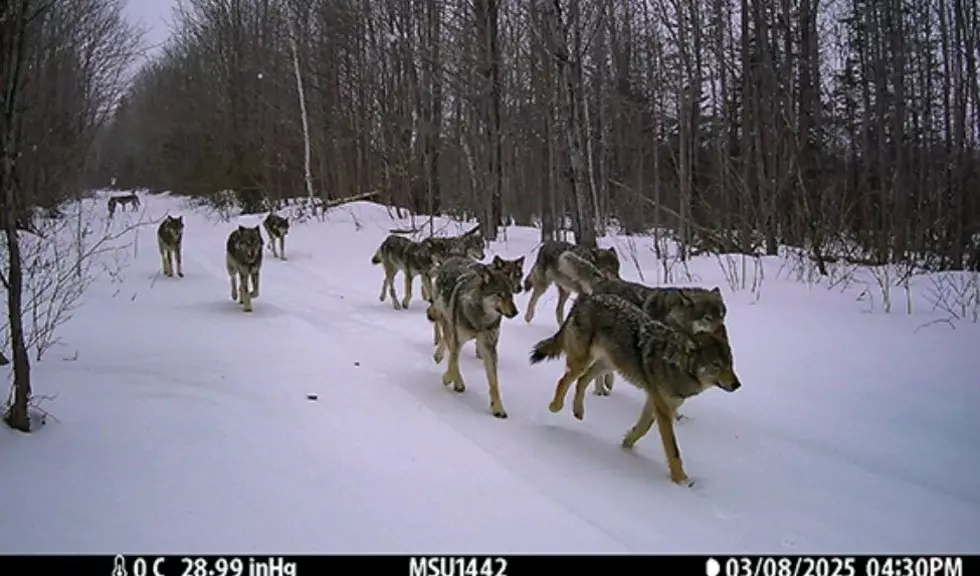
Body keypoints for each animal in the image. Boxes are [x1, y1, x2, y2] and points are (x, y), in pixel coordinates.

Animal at [426, 256, 519, 418]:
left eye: (511, 295)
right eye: (499, 294)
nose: (515, 312)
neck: (480, 320)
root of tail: (451, 258)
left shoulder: (489, 348)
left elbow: (494, 383)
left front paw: (498, 408)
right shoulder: (458, 340)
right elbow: (453, 364)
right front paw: (448, 379)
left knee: (446, 341)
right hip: (448, 322)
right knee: (448, 342)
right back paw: (455, 378)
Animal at [529, 293, 741, 486]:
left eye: (730, 364)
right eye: (716, 365)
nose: (737, 385)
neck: (675, 364)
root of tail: (588, 297)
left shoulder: (656, 402)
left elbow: (642, 428)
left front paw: (627, 443)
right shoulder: (663, 408)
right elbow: (672, 449)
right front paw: (681, 480)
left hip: (607, 365)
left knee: (582, 381)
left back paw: (578, 411)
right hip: (583, 362)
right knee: (565, 380)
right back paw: (555, 406)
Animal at [557, 251, 728, 396]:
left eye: (721, 316)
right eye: (707, 318)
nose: (723, 333)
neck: (674, 317)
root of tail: (603, 280)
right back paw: (601, 389)